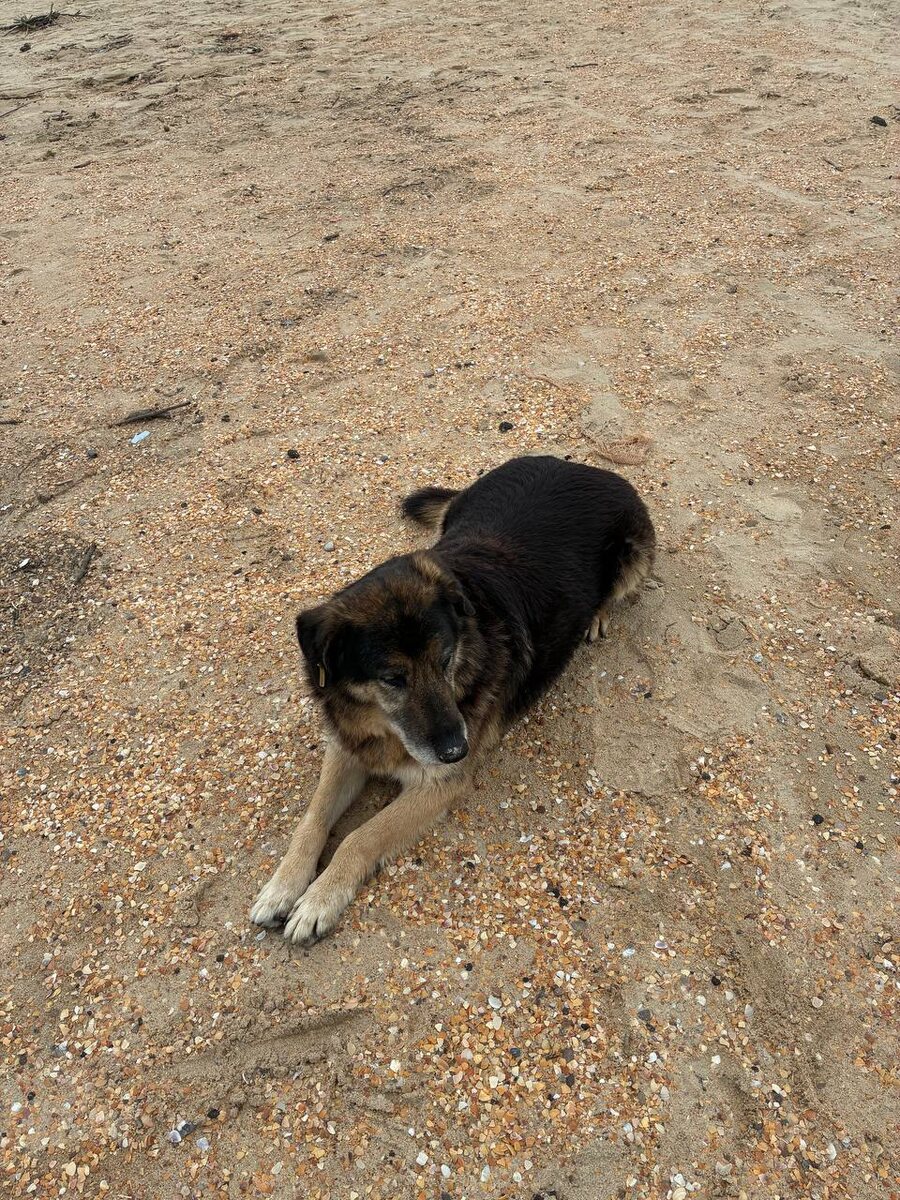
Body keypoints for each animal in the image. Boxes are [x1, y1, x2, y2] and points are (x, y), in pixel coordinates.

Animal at [250, 454, 655, 944]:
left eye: (445, 660)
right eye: (393, 678)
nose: (456, 751)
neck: (385, 729)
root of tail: (580, 465)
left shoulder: (437, 785)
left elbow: (358, 837)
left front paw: (319, 899)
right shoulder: (349, 748)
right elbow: (312, 820)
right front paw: (283, 885)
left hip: (633, 557)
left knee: (616, 592)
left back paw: (596, 617)